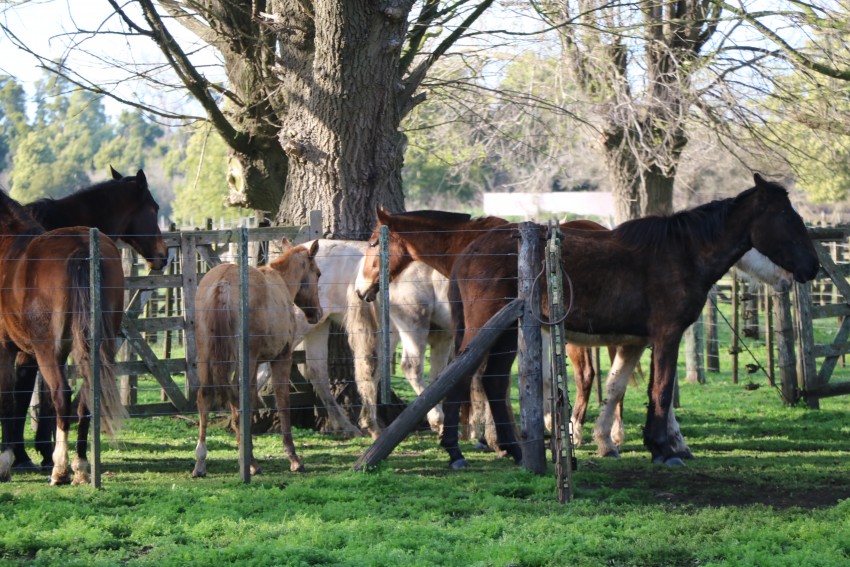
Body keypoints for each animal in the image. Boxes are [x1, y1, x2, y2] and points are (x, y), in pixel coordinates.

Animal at [0, 189, 127, 486]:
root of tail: (82, 249)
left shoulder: (5, 347)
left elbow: (8, 398)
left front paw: (5, 462)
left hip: (46, 348)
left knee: (62, 393)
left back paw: (60, 469)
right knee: (85, 395)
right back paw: (80, 466)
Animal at [192, 237, 322, 478]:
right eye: (317, 273)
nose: (316, 313)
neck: (284, 284)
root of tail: (222, 285)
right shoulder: (281, 356)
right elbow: (282, 401)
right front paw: (293, 458)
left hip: (206, 351)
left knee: (205, 396)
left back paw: (201, 462)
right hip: (246, 357)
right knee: (238, 398)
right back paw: (250, 461)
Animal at [448, 175, 820, 468]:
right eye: (786, 217)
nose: (812, 267)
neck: (683, 253)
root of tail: (469, 251)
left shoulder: (639, 341)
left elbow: (624, 388)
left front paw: (639, 444)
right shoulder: (667, 335)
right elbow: (662, 390)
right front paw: (663, 449)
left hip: (507, 334)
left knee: (493, 382)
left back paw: (514, 450)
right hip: (486, 331)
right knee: (460, 375)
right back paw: (455, 452)